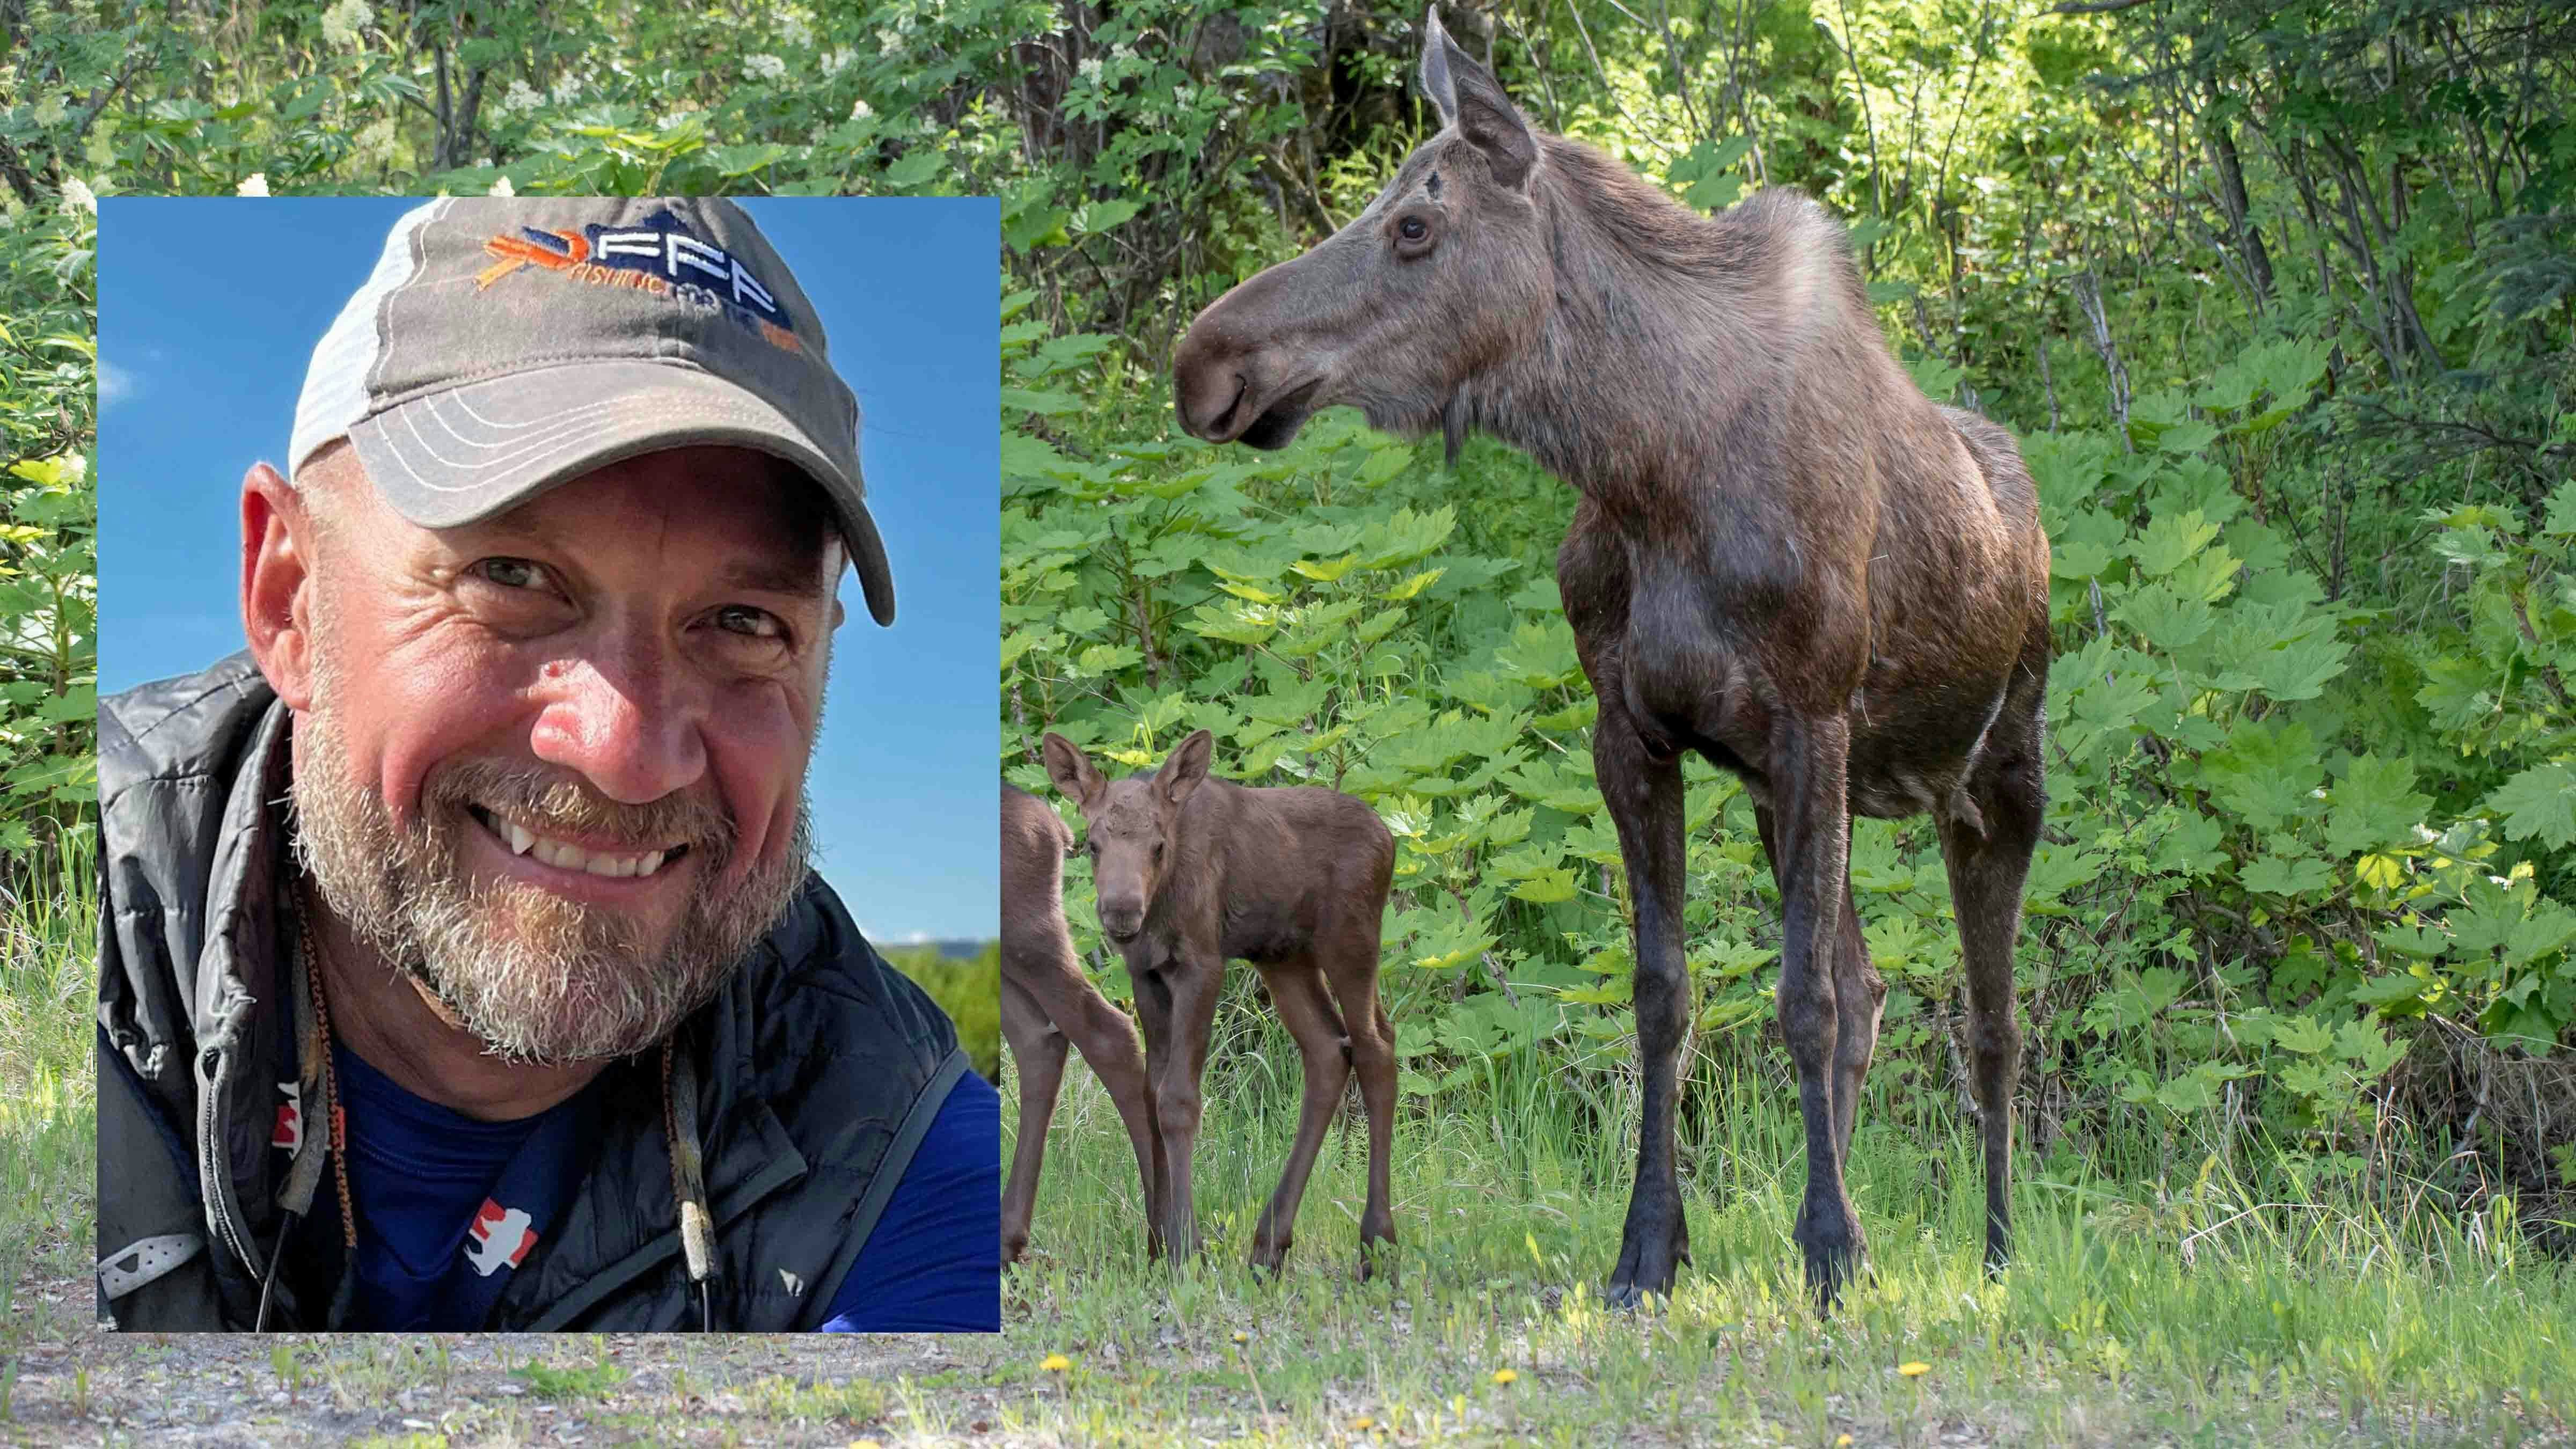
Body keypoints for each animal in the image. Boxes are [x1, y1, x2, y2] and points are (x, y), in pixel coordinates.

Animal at [1040, 729, 1399, 1279]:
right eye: (1093, 845)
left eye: (1158, 845)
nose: (1121, 912)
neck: (1161, 906)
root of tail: (1392, 839)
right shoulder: (1146, 975)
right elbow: (1150, 1093)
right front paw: (1158, 1247)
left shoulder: (1202, 967)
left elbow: (1179, 1100)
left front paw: (1187, 1251)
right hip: (1284, 957)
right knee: (1328, 1050)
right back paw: (1269, 1243)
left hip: (1351, 942)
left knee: (1376, 1048)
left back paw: (1377, 1244)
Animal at [1169, 10, 2050, 1311]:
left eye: (1416, 225)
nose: (1205, 363)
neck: (1647, 467)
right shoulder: (1635, 734)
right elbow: (1666, 997)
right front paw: (1655, 1250)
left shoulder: (1813, 720)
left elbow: (1797, 999)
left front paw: (1832, 1251)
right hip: (1799, 793)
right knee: (1871, 986)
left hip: (1994, 776)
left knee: (1991, 1023)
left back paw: (1995, 1251)